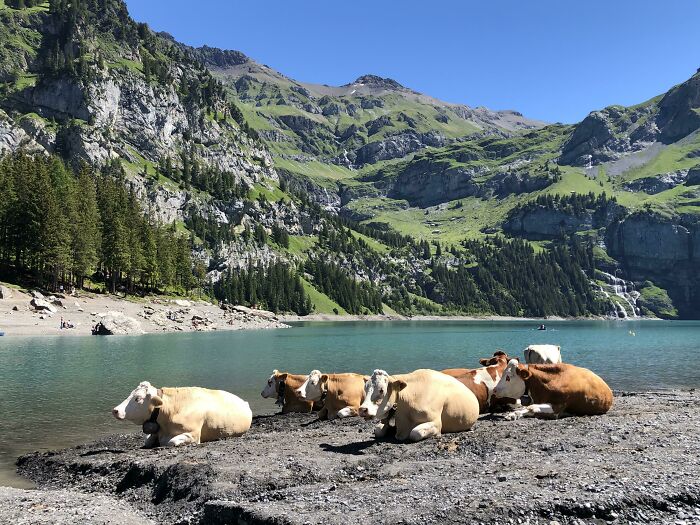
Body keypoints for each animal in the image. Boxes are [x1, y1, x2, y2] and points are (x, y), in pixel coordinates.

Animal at [110, 380, 250, 446]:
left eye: (137, 398)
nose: (116, 410)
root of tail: (244, 402)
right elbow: (148, 441)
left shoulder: (194, 435)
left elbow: (171, 442)